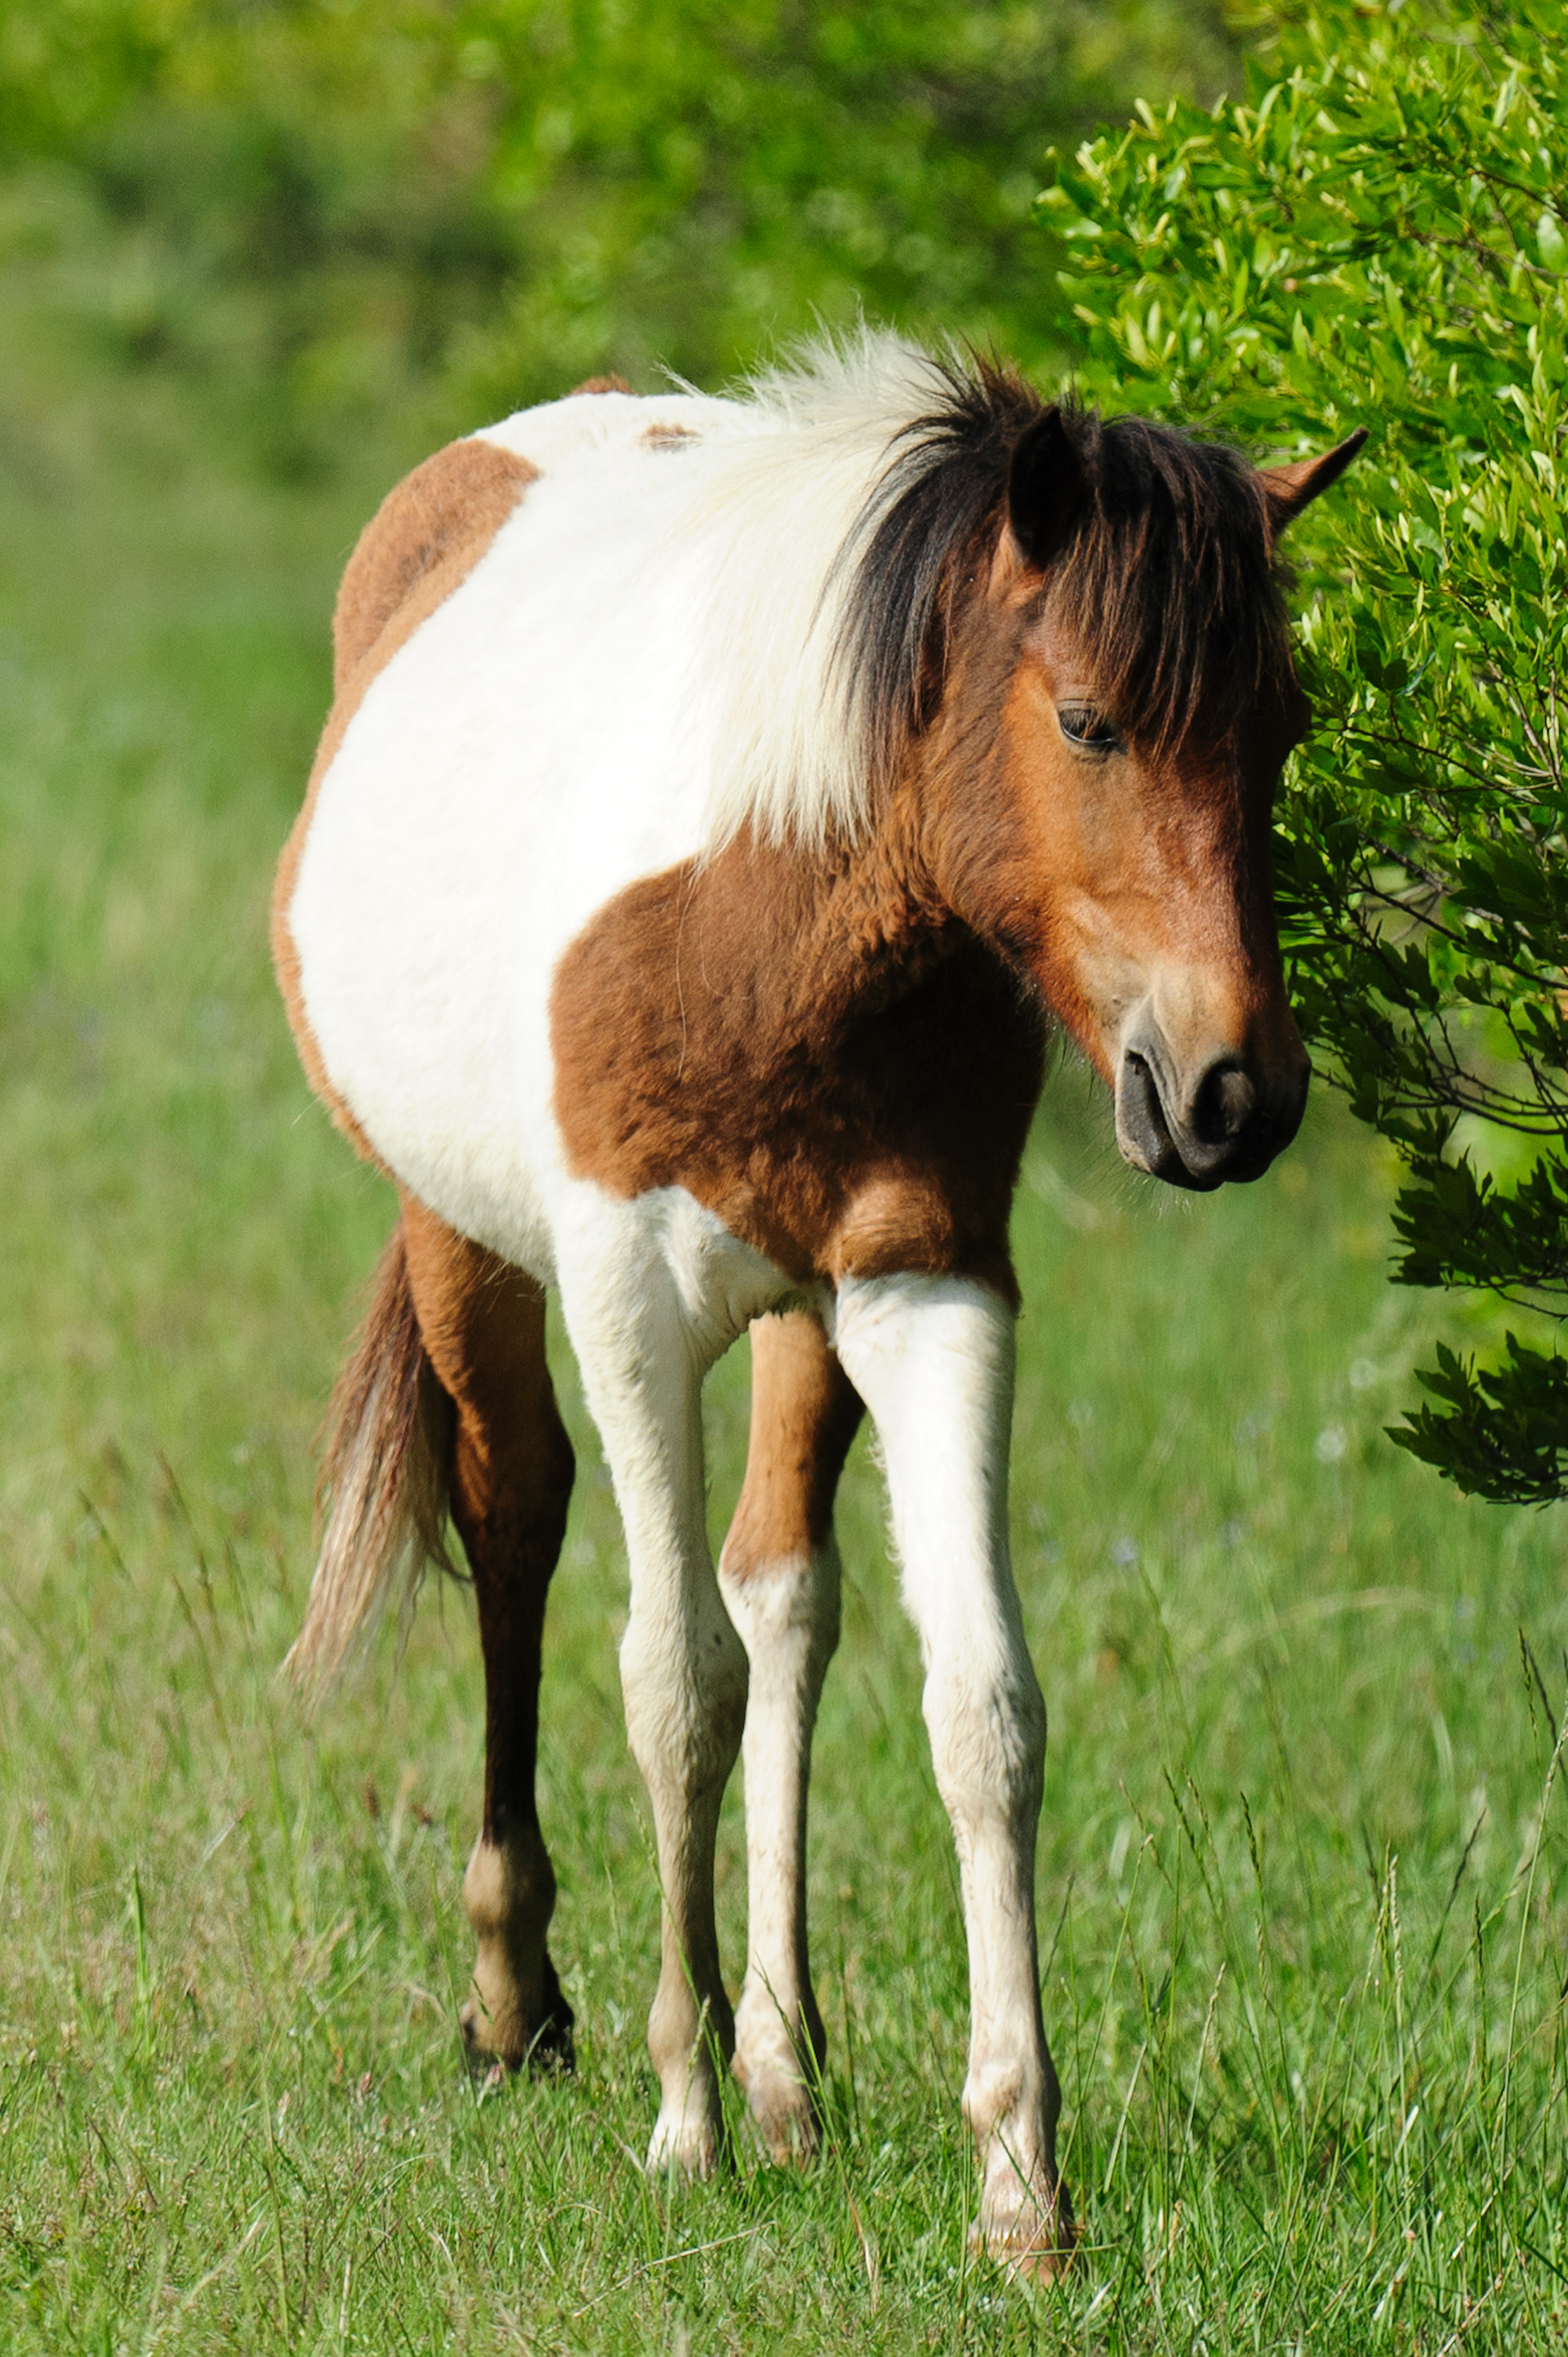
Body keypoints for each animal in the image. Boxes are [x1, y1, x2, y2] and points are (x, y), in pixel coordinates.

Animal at [272, 334, 1363, 2272]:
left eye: (1282, 730)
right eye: (1091, 720)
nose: (1232, 1094)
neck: (782, 896)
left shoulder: (927, 1286)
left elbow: (976, 1707)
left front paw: (1019, 2188)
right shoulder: (627, 1299)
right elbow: (669, 1686)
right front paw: (678, 2117)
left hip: (801, 1317)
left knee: (783, 1594)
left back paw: (781, 2056)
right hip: (457, 1242)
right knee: (519, 1529)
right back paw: (521, 2009)